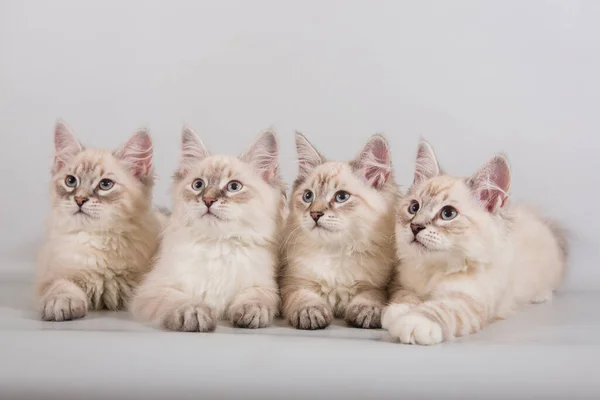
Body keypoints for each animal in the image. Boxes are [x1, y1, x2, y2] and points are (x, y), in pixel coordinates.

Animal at [37, 120, 164, 320]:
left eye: (105, 185)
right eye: (71, 181)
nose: (79, 199)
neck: (99, 238)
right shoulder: (54, 274)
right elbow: (62, 285)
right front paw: (62, 304)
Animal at [132, 127, 286, 332]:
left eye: (234, 186)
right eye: (198, 185)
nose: (208, 200)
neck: (217, 244)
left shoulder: (264, 286)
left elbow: (255, 298)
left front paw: (251, 313)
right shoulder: (153, 289)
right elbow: (179, 300)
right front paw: (195, 314)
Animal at [280, 133, 398, 330]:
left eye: (341, 197)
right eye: (308, 196)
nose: (315, 214)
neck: (335, 250)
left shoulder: (376, 285)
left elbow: (371, 297)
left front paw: (367, 311)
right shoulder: (294, 282)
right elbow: (303, 297)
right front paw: (310, 312)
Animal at [382, 141, 564, 344]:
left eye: (448, 214)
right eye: (414, 208)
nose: (415, 226)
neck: (435, 268)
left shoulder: (468, 300)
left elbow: (438, 309)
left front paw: (414, 322)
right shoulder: (402, 283)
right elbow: (405, 296)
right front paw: (398, 311)